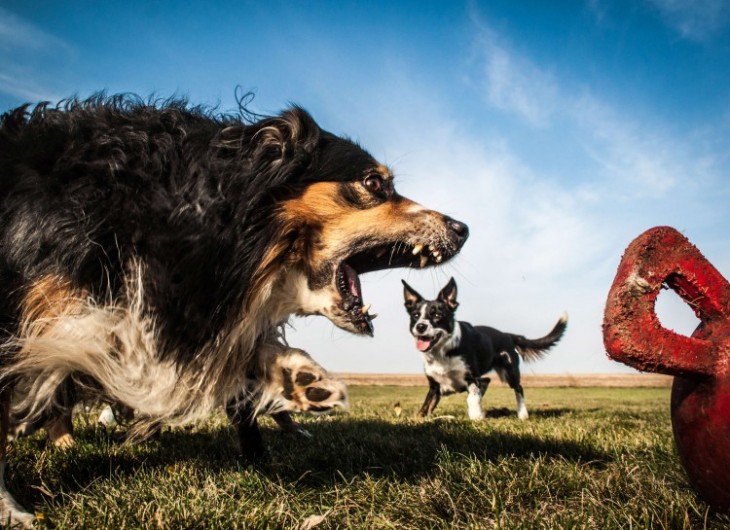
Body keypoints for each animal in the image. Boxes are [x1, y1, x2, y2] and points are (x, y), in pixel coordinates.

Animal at [398, 276, 564, 420]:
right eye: (415, 315)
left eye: (437, 315)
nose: (420, 326)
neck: (443, 353)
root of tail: (508, 335)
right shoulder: (434, 386)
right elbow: (426, 405)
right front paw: (418, 418)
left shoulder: (472, 378)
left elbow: (472, 398)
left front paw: (476, 416)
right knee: (487, 381)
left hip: (510, 372)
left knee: (518, 388)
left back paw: (522, 414)